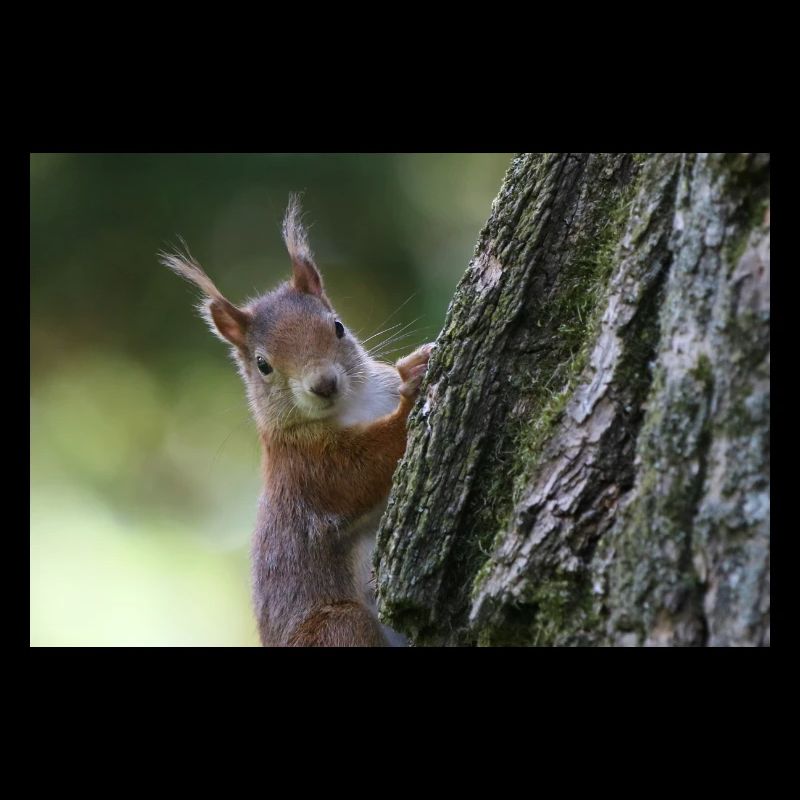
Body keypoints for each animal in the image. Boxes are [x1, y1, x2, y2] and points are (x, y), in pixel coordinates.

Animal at [162, 196, 433, 646]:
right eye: (263, 365)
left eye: (338, 326)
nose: (323, 384)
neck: (355, 404)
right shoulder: (305, 467)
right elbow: (362, 471)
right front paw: (413, 386)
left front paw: (414, 363)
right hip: (338, 626)